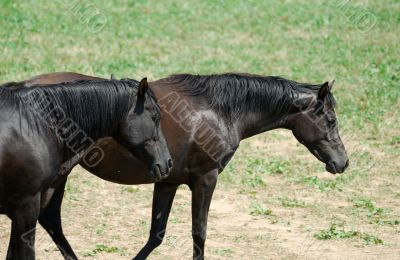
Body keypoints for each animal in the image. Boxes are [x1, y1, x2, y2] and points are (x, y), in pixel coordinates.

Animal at [12, 71, 348, 260]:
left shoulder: (168, 181)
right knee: (50, 220)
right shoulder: (205, 179)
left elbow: (156, 235)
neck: (219, 111)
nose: (342, 162)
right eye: (331, 120)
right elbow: (199, 233)